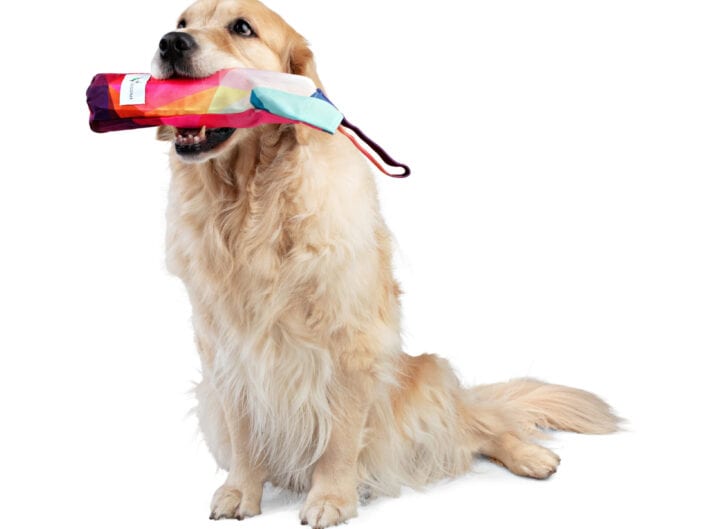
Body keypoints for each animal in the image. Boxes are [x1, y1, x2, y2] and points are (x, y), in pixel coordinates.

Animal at [148, 2, 616, 524]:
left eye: (242, 27)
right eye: (183, 22)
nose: (170, 43)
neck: (249, 204)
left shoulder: (350, 342)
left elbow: (339, 438)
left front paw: (330, 499)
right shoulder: (224, 352)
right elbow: (245, 429)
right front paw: (240, 491)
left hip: (426, 383)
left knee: (480, 424)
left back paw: (531, 456)